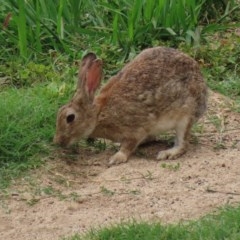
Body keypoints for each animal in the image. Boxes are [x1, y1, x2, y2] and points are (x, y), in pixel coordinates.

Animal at [53, 47, 207, 166]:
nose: (57, 142)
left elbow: (128, 146)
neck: (99, 114)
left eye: (70, 118)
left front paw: (116, 158)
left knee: (183, 143)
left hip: (186, 114)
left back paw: (168, 153)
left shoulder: (134, 129)